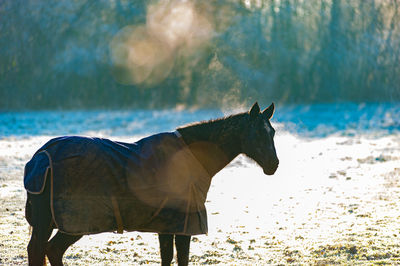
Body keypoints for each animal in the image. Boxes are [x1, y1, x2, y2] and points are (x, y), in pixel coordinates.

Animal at [24, 102, 278, 266]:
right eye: (257, 133)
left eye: (273, 132)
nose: (274, 165)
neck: (191, 157)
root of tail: (41, 156)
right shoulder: (184, 223)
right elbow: (181, 259)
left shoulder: (167, 225)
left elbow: (167, 258)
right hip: (69, 221)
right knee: (45, 250)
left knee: (46, 250)